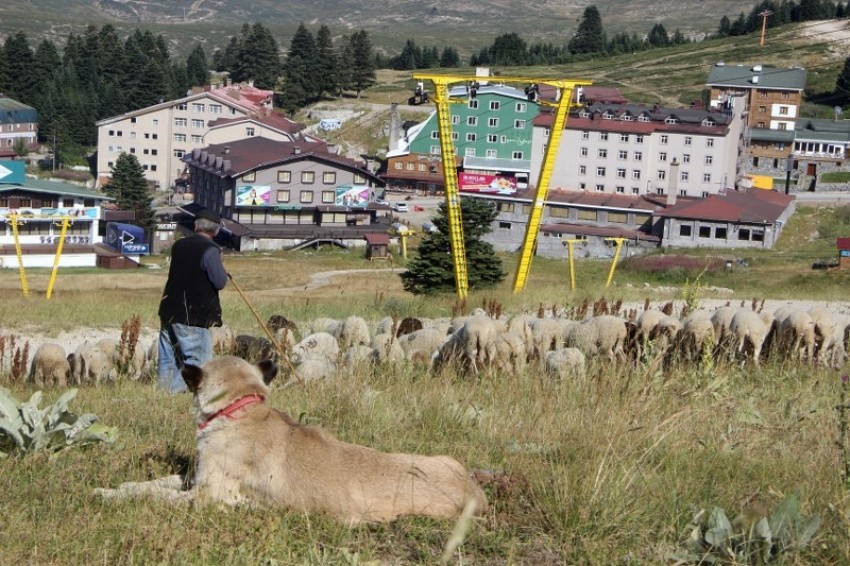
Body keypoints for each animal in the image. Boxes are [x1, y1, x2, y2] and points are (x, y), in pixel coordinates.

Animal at [94, 358, 484, 524]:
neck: (242, 408)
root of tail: (475, 493)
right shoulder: (197, 479)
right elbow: (156, 483)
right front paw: (117, 487)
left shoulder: (208, 496)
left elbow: (157, 495)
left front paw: (112, 496)